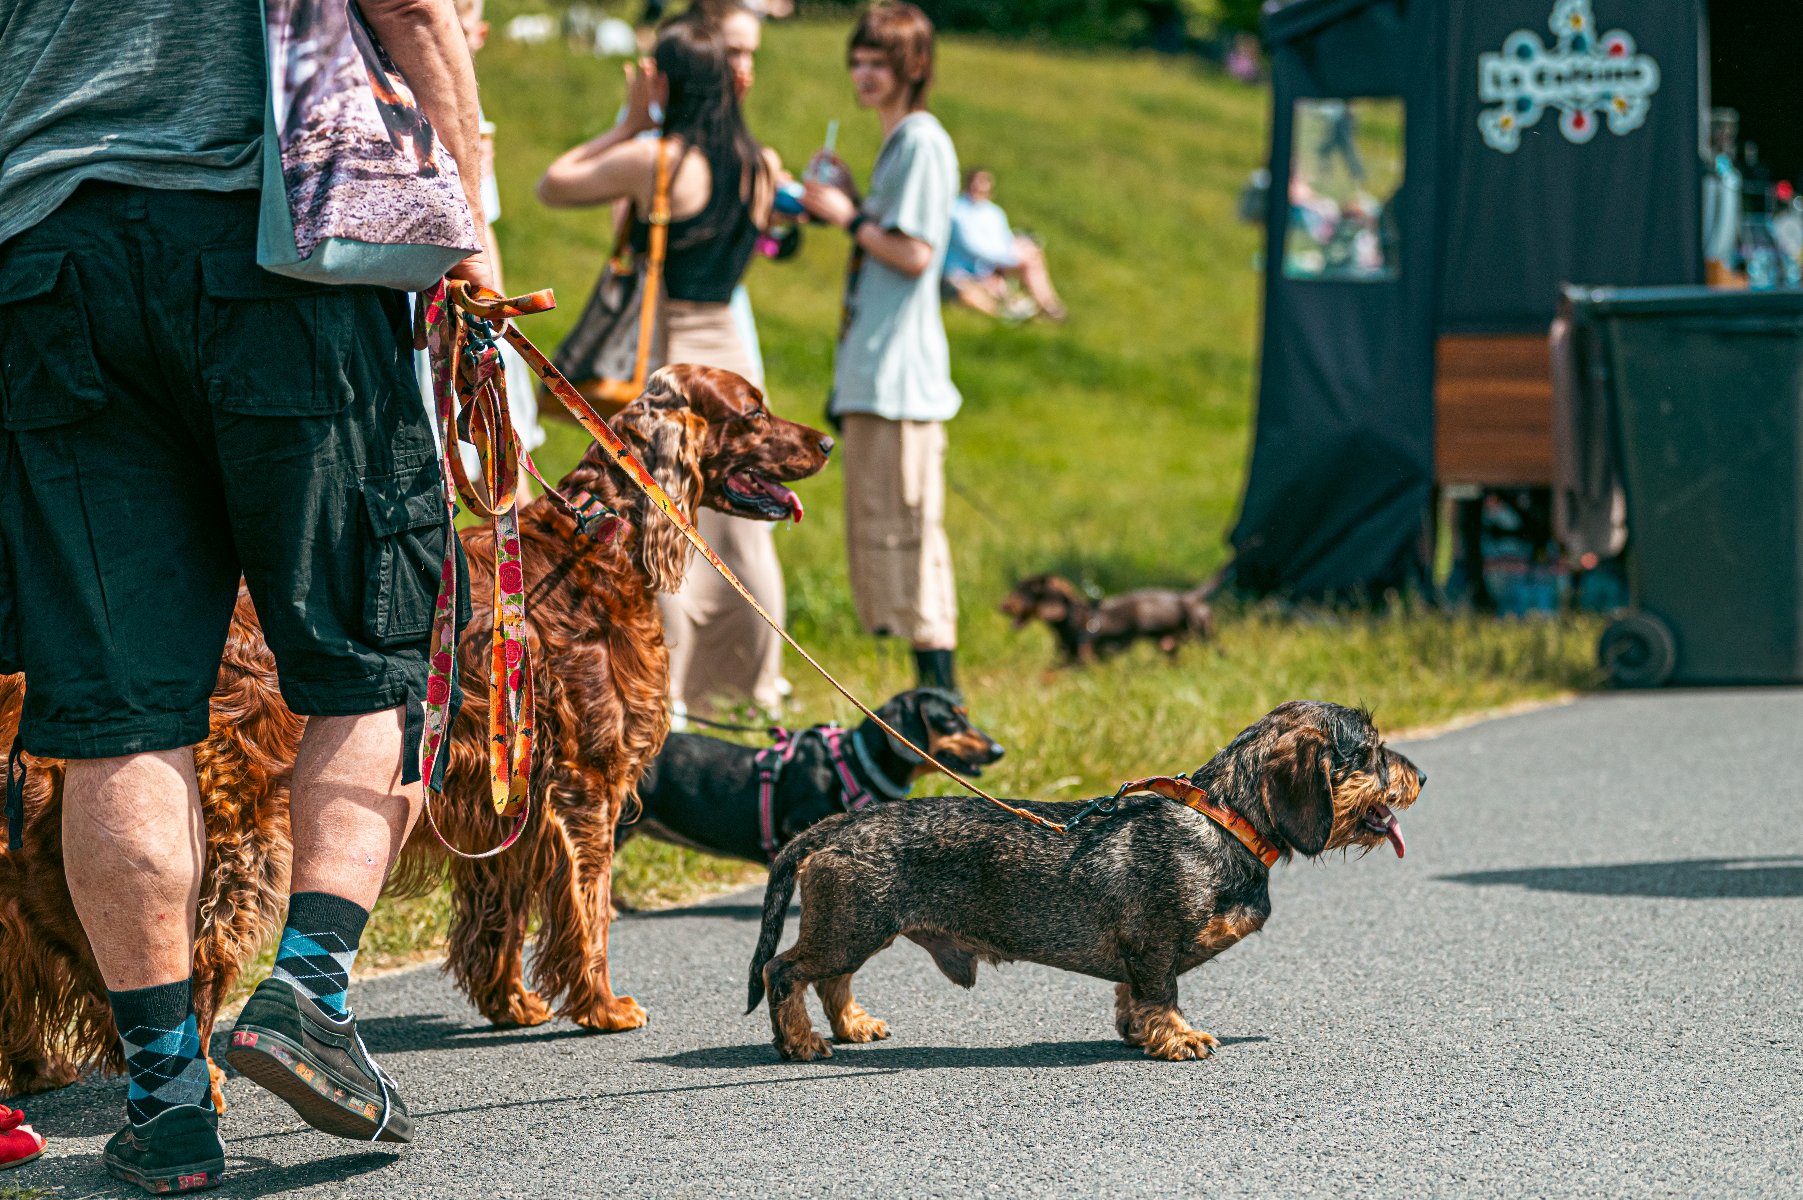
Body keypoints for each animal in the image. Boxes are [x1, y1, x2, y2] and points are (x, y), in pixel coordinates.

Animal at [0, 362, 829, 1095]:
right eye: (753, 411)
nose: (825, 440)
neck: (598, 542)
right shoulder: (584, 786)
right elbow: (588, 910)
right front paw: (603, 1007)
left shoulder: (504, 804)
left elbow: (500, 919)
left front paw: (510, 1004)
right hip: (240, 839)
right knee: (191, 951)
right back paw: (202, 1079)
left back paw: (39, 1074)